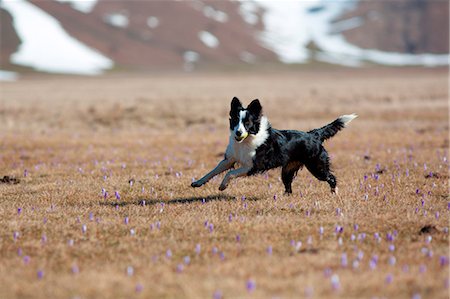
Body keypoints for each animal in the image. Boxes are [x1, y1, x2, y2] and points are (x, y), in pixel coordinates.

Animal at [192, 97, 356, 196]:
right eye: (235, 121)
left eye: (247, 123)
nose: (238, 132)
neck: (246, 140)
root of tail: (314, 134)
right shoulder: (229, 159)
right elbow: (212, 172)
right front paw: (197, 182)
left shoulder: (253, 166)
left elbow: (230, 174)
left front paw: (223, 186)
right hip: (287, 170)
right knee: (288, 186)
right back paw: (284, 197)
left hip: (317, 167)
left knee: (331, 177)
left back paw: (334, 193)